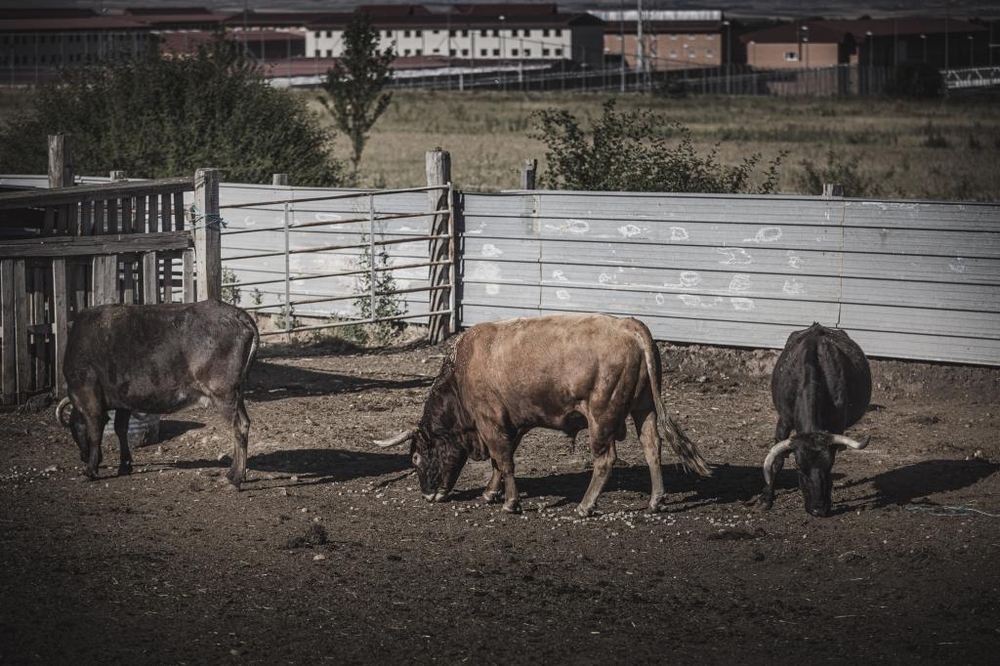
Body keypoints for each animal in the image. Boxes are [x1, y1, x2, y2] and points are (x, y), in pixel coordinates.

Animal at [376, 312, 712, 512]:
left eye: (416, 457)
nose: (427, 495)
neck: (461, 373)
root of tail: (630, 325)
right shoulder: (510, 424)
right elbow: (500, 462)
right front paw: (490, 493)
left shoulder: (490, 422)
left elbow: (504, 461)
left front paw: (510, 502)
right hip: (644, 406)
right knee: (652, 447)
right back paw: (656, 500)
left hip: (602, 414)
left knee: (605, 459)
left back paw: (585, 505)